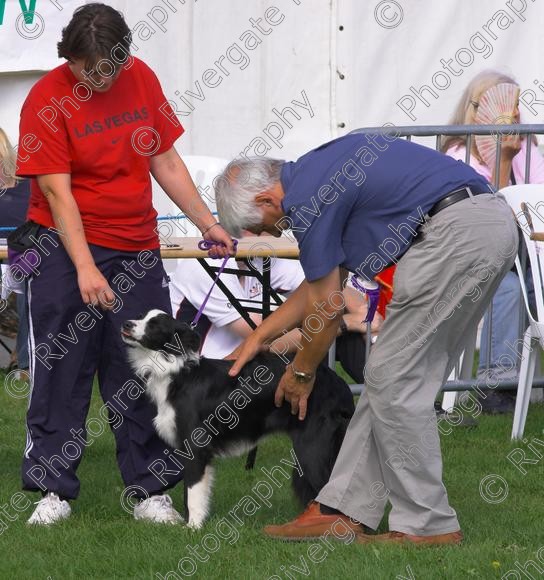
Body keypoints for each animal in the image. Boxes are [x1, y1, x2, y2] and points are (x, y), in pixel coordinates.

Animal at [121, 310, 354, 528]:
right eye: (141, 317)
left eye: (154, 325)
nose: (126, 323)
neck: (177, 372)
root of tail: (339, 384)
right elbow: (194, 492)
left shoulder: (195, 447)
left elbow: (193, 492)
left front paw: (193, 528)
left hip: (312, 449)